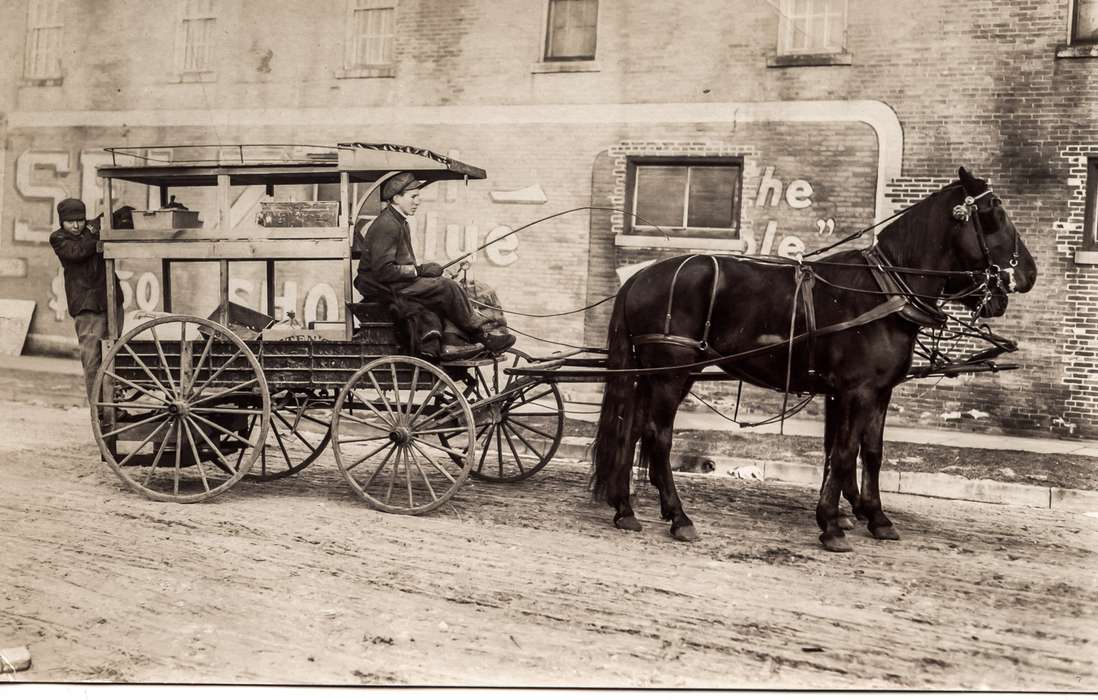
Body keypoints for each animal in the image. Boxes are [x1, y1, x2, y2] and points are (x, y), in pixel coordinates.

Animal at [592, 168, 1036, 552]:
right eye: (994, 211)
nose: (1028, 274)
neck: (885, 290)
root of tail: (640, 277)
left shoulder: (875, 391)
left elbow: (869, 451)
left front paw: (874, 517)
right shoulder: (856, 390)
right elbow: (843, 452)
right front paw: (831, 525)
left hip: (651, 373)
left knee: (630, 429)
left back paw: (625, 508)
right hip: (672, 373)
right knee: (657, 436)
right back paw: (678, 516)